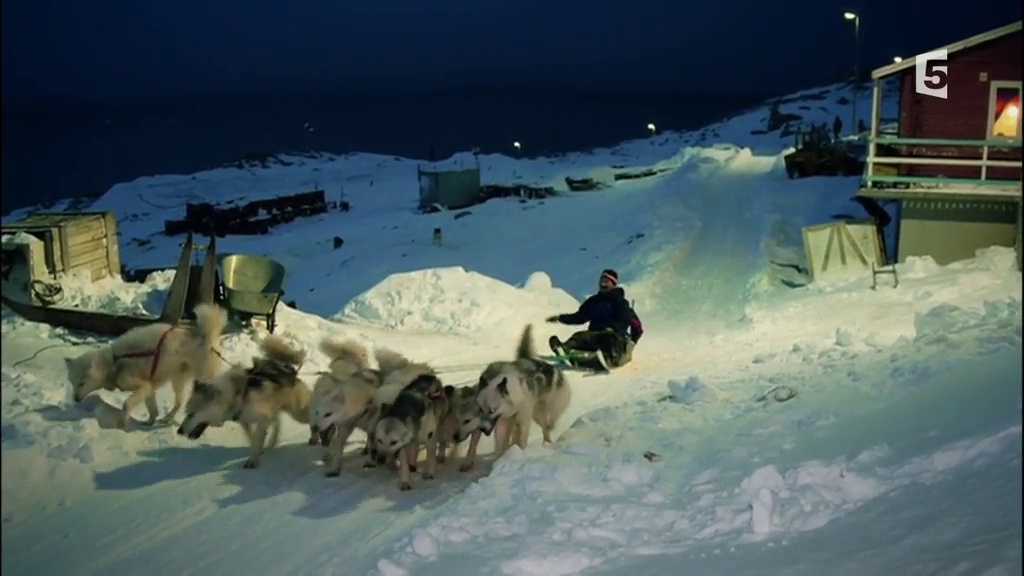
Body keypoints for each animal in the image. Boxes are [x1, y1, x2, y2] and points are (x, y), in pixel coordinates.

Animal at [67, 303, 229, 428]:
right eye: (73, 383)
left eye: (81, 383)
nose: (74, 399)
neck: (114, 362)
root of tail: (207, 338)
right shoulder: (149, 389)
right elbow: (153, 410)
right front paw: (149, 422)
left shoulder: (141, 386)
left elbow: (127, 404)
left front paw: (122, 424)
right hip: (178, 380)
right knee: (179, 402)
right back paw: (167, 418)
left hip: (202, 380)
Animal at [178, 332, 309, 467]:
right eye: (186, 413)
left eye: (192, 414)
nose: (179, 431)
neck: (236, 395)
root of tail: (290, 370)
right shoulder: (246, 422)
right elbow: (252, 438)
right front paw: (258, 451)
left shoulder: (263, 419)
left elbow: (257, 439)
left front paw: (252, 460)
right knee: (277, 423)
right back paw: (272, 442)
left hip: (298, 413)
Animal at [475, 323, 573, 461]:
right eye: (481, 409)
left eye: (492, 409)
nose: (482, 429)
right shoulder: (502, 424)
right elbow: (501, 444)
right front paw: (499, 459)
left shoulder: (522, 421)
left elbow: (521, 439)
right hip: (534, 416)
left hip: (549, 408)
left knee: (549, 423)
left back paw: (548, 439)